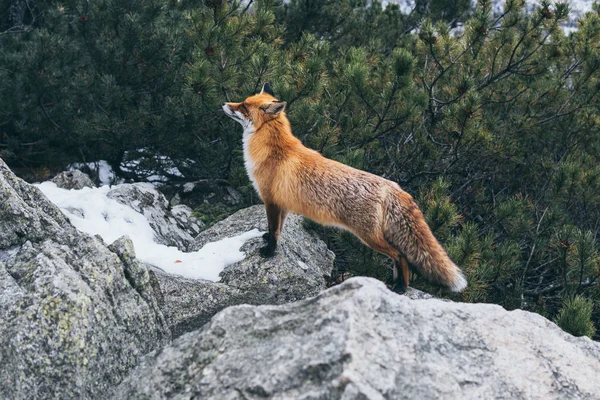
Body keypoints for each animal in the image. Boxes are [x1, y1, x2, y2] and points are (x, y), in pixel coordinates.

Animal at [223, 83, 466, 292]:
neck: (274, 150)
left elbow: (274, 231)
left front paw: (268, 251)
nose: (224, 104)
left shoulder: (271, 200)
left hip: (368, 237)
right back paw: (395, 283)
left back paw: (401, 288)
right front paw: (267, 240)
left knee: (400, 255)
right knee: (399, 257)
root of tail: (393, 186)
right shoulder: (282, 204)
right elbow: (278, 229)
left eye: (244, 106)